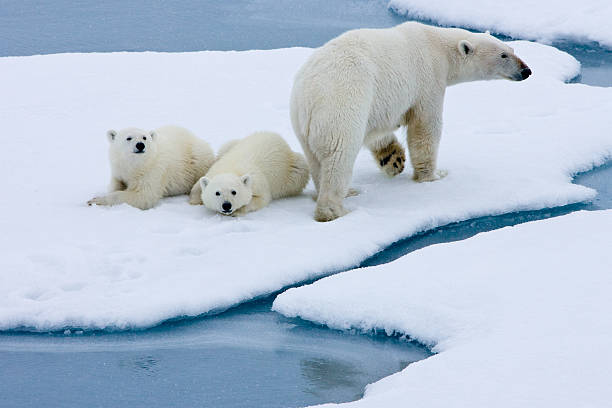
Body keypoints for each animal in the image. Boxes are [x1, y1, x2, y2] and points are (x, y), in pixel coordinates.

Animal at [292, 21, 532, 220]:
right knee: (339, 155)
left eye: (512, 49)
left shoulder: (380, 101)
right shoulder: (428, 79)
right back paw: (335, 209)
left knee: (316, 160)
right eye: (503, 55)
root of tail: (308, 96)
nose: (526, 70)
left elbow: (377, 128)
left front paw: (394, 160)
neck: (438, 45)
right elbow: (425, 127)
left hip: (304, 124)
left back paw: (346, 192)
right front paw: (433, 176)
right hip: (342, 103)